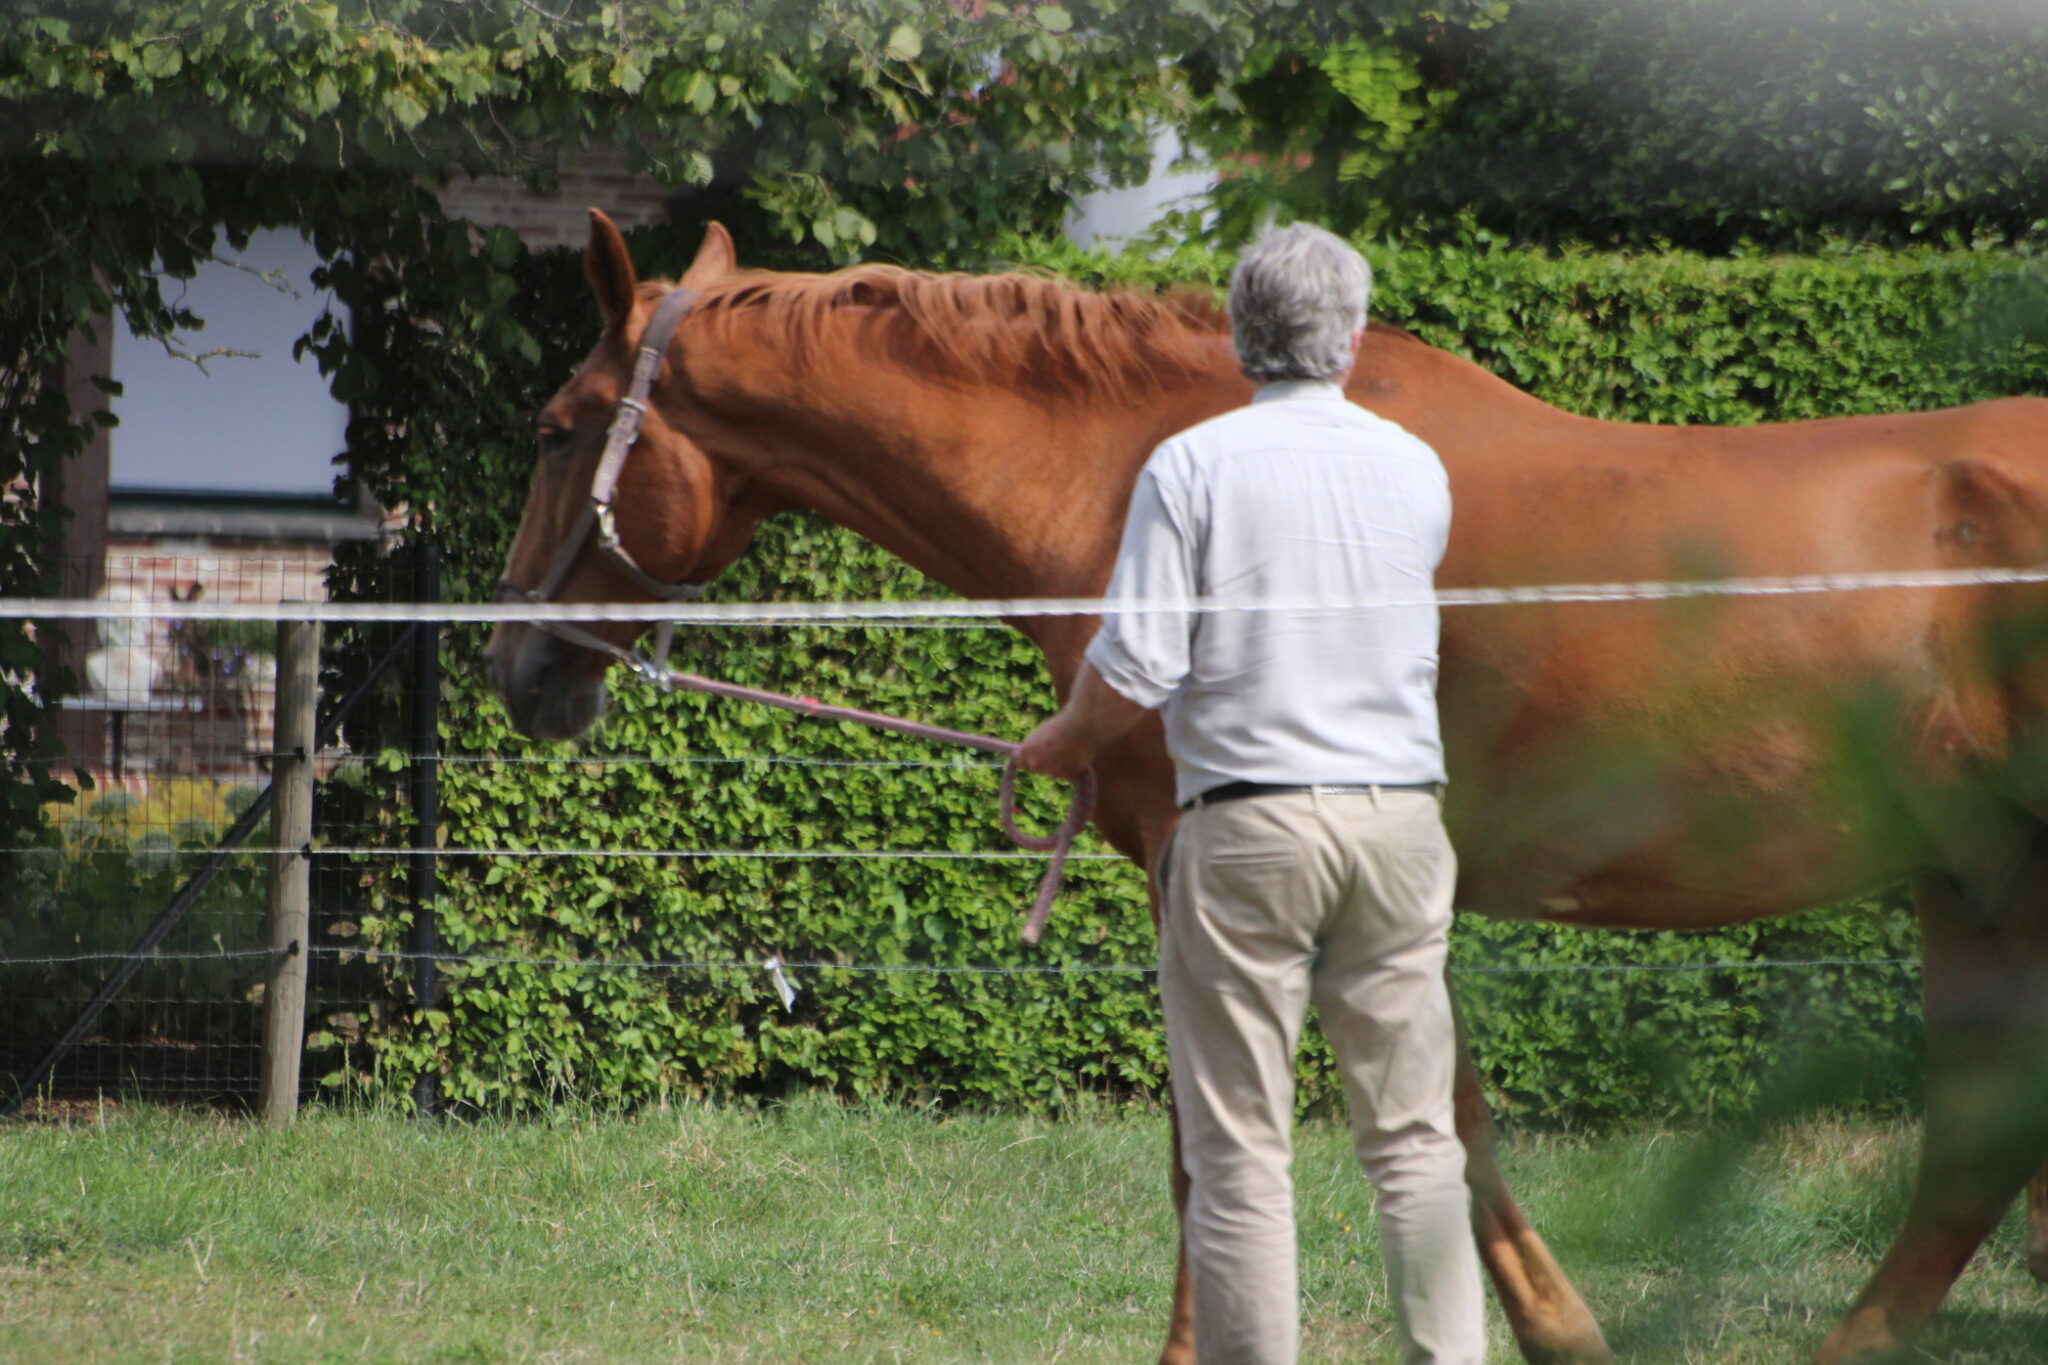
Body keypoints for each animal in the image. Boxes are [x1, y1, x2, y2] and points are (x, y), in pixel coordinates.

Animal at [483, 213, 2048, 1365]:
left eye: (558, 426)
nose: (513, 668)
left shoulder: (1209, 872)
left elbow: (1213, 1149)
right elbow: (1446, 1125)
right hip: (1970, 885)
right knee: (1968, 1165)